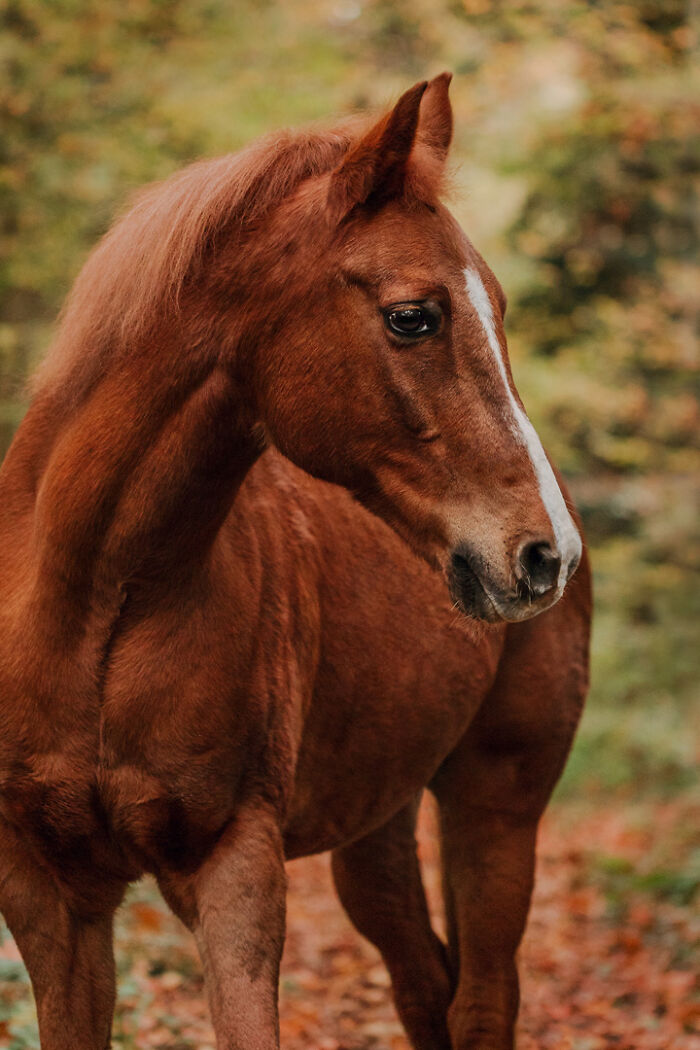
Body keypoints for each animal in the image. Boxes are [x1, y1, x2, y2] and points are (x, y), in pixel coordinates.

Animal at [0, 73, 590, 1049]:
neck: (93, 606)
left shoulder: (233, 866)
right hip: (377, 830)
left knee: (481, 1002)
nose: (544, 555)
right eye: (413, 316)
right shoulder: (52, 894)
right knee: (425, 987)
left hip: (497, 807)